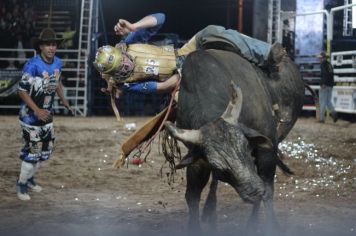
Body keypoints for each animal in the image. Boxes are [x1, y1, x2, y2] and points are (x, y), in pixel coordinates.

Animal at [163, 48, 304, 234]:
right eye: (218, 167)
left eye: (246, 148)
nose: (254, 192)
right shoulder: (198, 159)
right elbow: (192, 196)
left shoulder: (267, 150)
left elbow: (268, 189)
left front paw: (271, 226)